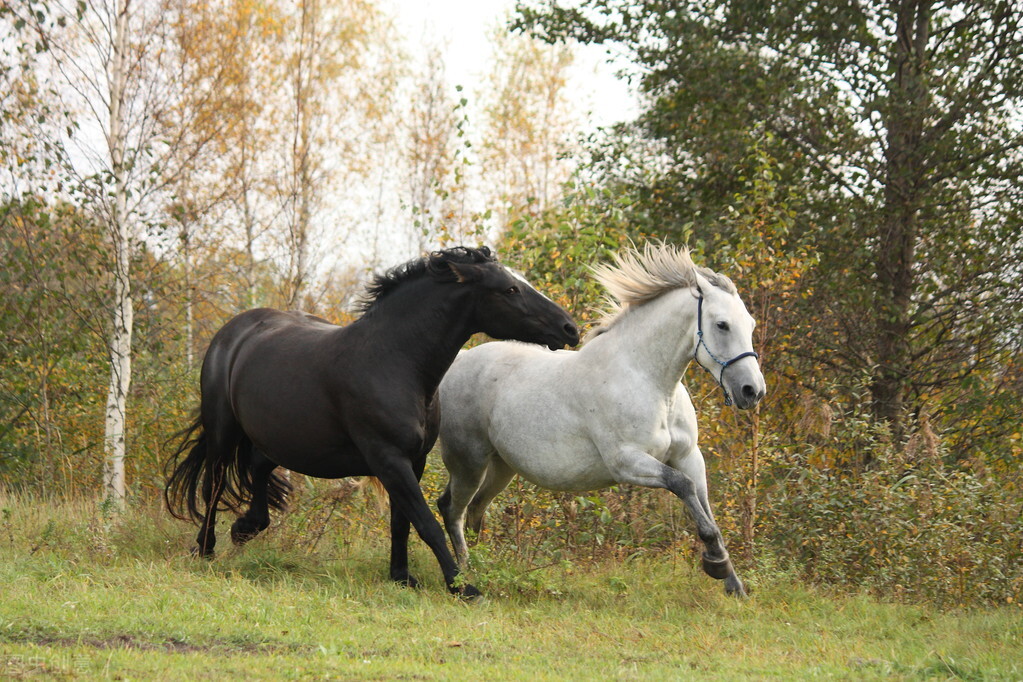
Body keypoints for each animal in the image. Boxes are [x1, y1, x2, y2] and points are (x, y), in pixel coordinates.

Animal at [169, 248, 585, 593]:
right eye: (510, 289)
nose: (569, 328)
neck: (393, 361)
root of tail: (234, 331)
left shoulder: (413, 461)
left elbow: (401, 522)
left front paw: (401, 577)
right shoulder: (389, 459)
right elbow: (426, 522)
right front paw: (461, 586)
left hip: (278, 437)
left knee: (256, 469)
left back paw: (245, 528)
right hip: (223, 430)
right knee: (215, 483)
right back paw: (205, 548)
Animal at [435, 245, 765, 597]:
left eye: (750, 324)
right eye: (722, 325)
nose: (752, 391)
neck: (650, 382)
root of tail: (457, 362)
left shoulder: (689, 457)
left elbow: (704, 506)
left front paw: (734, 584)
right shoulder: (626, 462)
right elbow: (683, 486)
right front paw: (715, 563)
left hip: (502, 467)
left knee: (475, 510)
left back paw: (484, 565)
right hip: (469, 462)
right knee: (452, 509)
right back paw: (465, 575)